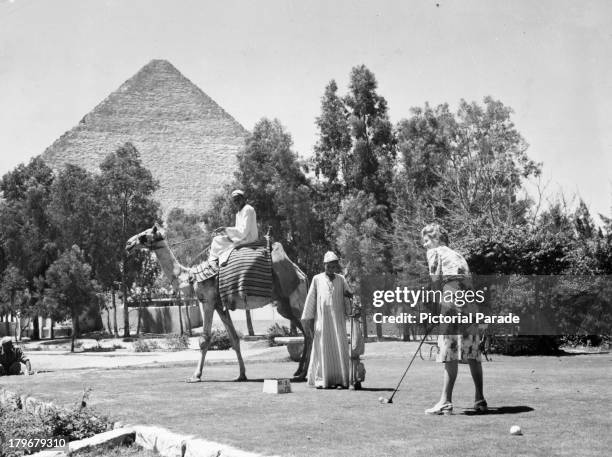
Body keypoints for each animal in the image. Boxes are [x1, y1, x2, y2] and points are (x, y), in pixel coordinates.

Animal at [124, 224, 310, 382]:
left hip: (295, 299)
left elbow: (204, 339)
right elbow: (234, 338)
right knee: (305, 333)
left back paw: (303, 374)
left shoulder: (207, 301)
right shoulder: (220, 305)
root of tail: (301, 274)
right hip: (284, 305)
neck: (190, 277)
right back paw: (299, 372)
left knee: (310, 331)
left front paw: (195, 376)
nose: (128, 244)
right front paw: (241, 375)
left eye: (144, 235)